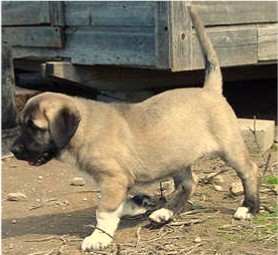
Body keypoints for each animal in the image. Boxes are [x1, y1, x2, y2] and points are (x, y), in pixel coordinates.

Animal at [11, 5, 260, 251]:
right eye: (22, 124)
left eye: (34, 127)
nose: (13, 150)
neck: (84, 130)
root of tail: (209, 90)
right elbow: (117, 203)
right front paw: (136, 205)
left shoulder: (114, 179)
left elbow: (104, 210)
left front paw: (98, 237)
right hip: (176, 155)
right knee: (188, 183)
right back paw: (164, 213)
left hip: (229, 147)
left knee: (249, 170)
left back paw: (249, 208)